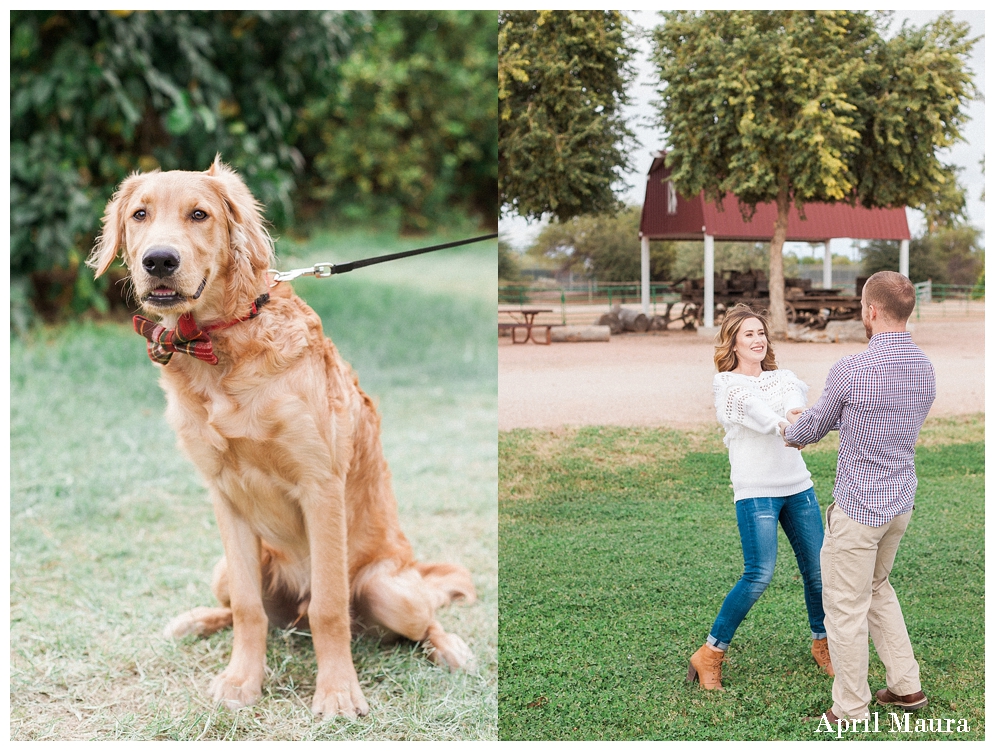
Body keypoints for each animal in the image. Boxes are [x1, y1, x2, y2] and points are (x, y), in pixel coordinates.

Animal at [87, 157, 476, 716]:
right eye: (140, 214)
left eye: (199, 214)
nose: (159, 260)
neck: (221, 346)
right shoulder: (224, 495)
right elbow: (250, 610)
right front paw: (242, 680)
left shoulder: (320, 486)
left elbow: (329, 608)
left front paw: (337, 692)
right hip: (222, 570)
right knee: (250, 612)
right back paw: (196, 621)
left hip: (388, 589)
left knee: (418, 622)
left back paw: (451, 648)